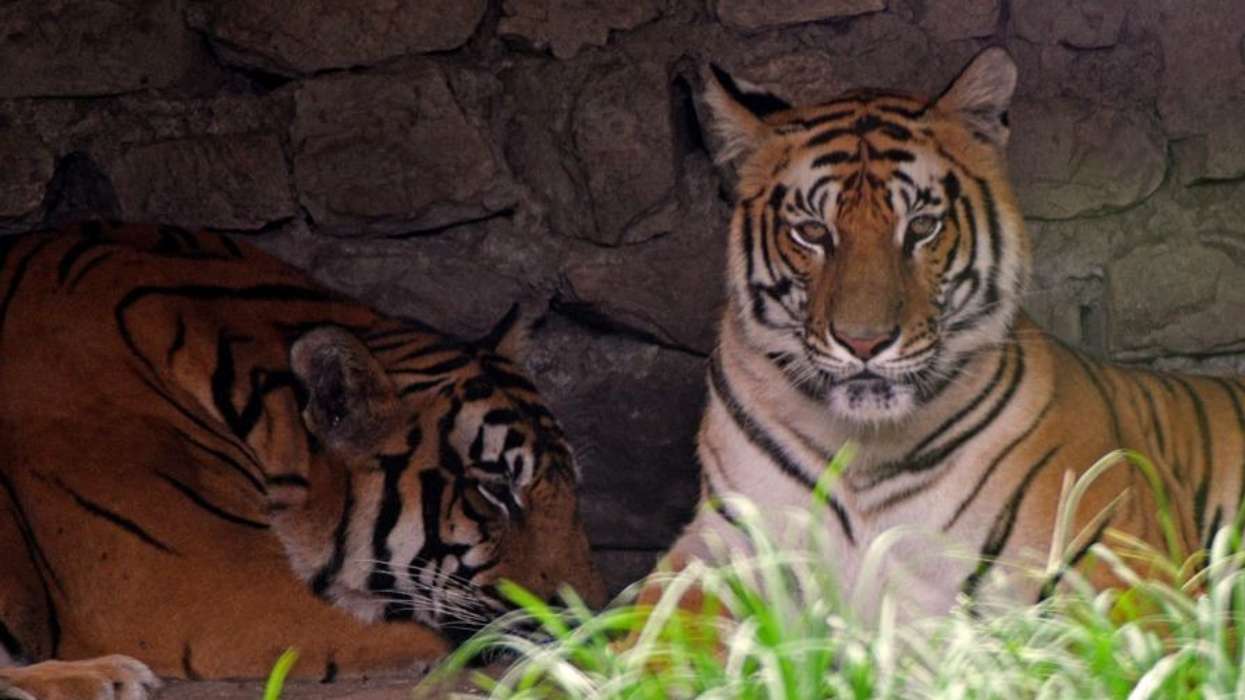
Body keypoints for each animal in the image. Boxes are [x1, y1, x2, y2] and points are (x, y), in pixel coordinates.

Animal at [665, 46, 1245, 616]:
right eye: (812, 231)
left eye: (922, 226)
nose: (863, 342)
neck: (864, 449)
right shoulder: (718, 543)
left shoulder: (1123, 555)